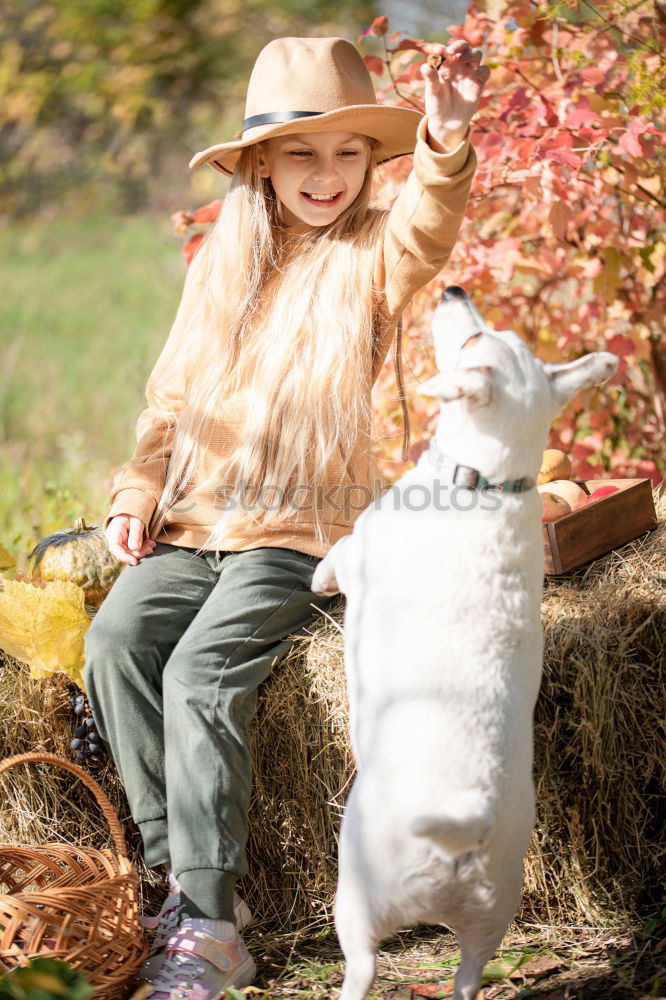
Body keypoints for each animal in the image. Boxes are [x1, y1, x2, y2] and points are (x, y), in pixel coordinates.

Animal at [312, 286, 616, 996]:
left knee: (360, 971)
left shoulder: (361, 549)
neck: (488, 479)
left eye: (477, 342)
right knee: (468, 978)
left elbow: (336, 557)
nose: (452, 290)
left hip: (354, 903)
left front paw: (316, 576)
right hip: (491, 919)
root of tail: (464, 818)